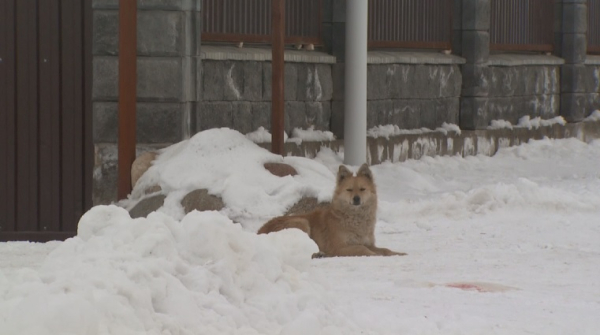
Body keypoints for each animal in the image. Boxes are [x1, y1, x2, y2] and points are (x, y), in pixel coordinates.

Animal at [258, 164, 408, 258]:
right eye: (349, 189)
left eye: (362, 189)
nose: (356, 199)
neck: (354, 219)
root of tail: (260, 231)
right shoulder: (339, 247)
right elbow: (362, 249)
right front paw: (374, 255)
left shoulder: (368, 243)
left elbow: (385, 249)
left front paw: (398, 253)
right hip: (301, 221)